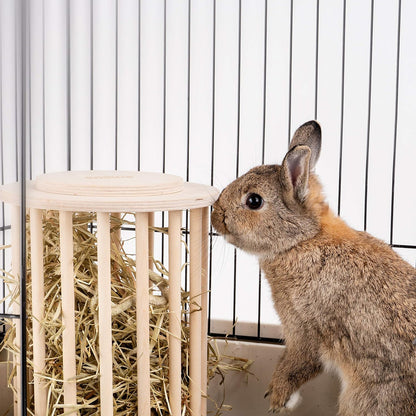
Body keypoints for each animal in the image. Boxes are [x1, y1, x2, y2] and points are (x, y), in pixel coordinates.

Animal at [211, 118, 416, 414]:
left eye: (254, 201)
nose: (215, 214)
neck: (304, 239)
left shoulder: (304, 329)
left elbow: (298, 364)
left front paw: (277, 398)